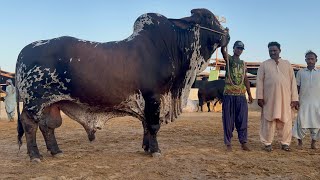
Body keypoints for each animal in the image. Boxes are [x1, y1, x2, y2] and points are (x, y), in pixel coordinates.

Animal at [15, 8, 230, 162]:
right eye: (209, 17)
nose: (227, 34)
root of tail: (24, 51)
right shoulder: (153, 96)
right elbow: (153, 125)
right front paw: (155, 150)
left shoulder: (147, 101)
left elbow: (146, 124)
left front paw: (146, 147)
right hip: (34, 102)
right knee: (29, 124)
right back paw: (35, 156)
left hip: (50, 104)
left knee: (47, 126)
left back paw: (55, 151)